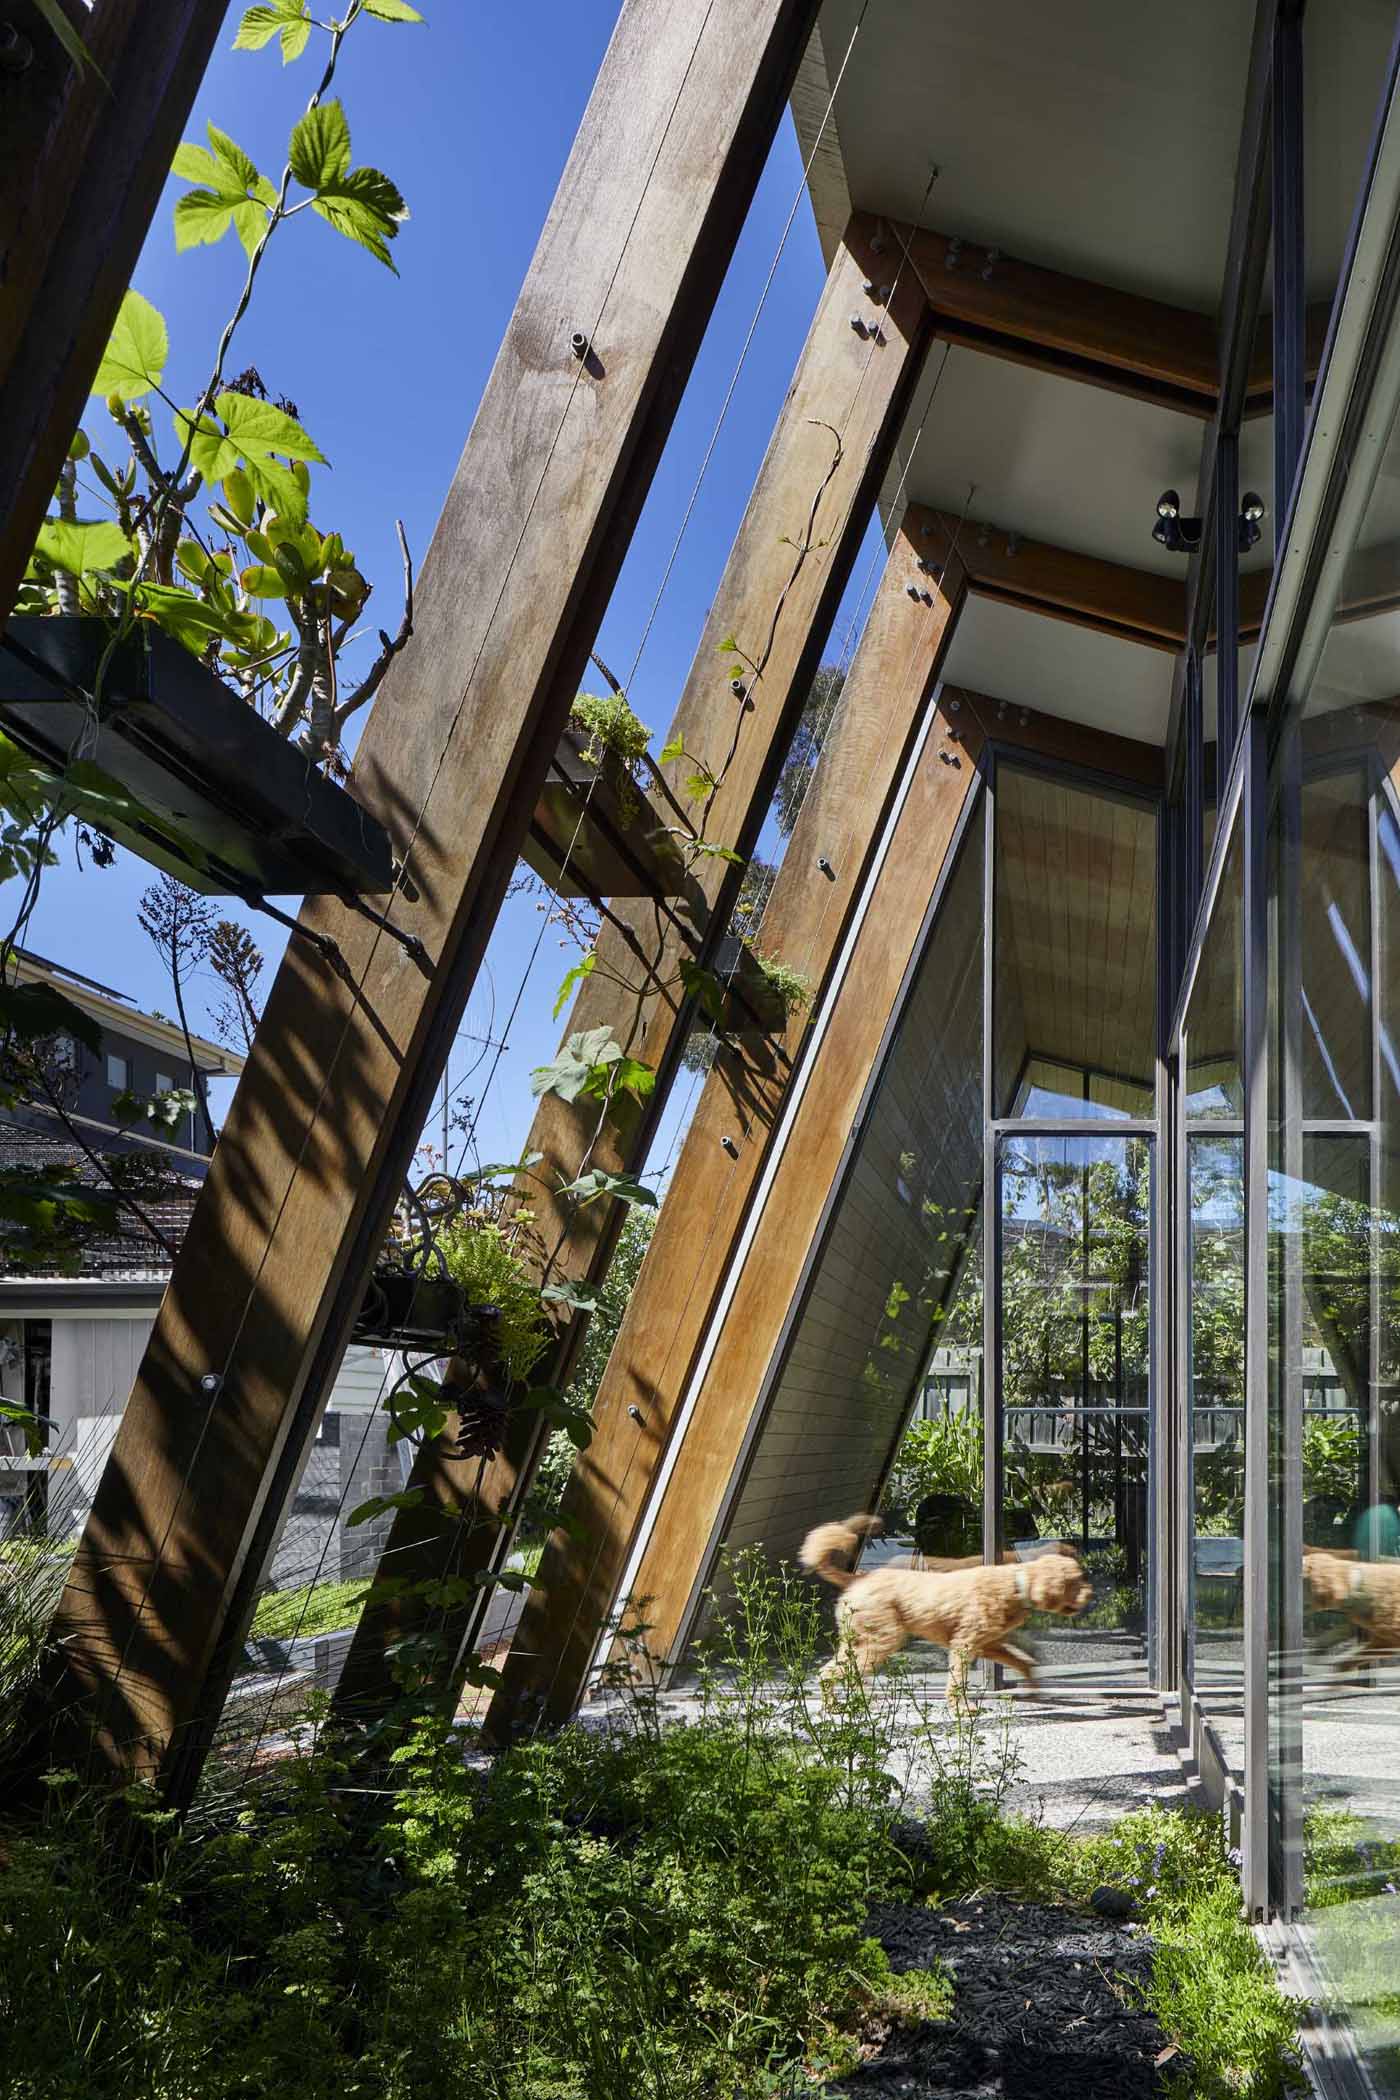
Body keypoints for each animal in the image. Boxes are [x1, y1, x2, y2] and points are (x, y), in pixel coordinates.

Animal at [797, 1520, 1091, 1696]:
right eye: (1075, 1582)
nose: (1090, 1594)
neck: (1016, 1583)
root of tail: (860, 1578)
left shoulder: (989, 1644)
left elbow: (1020, 1660)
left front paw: (1032, 1684)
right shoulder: (964, 1644)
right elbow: (957, 1680)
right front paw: (963, 1710)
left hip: (858, 1640)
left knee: (831, 1671)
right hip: (880, 1639)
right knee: (837, 1671)